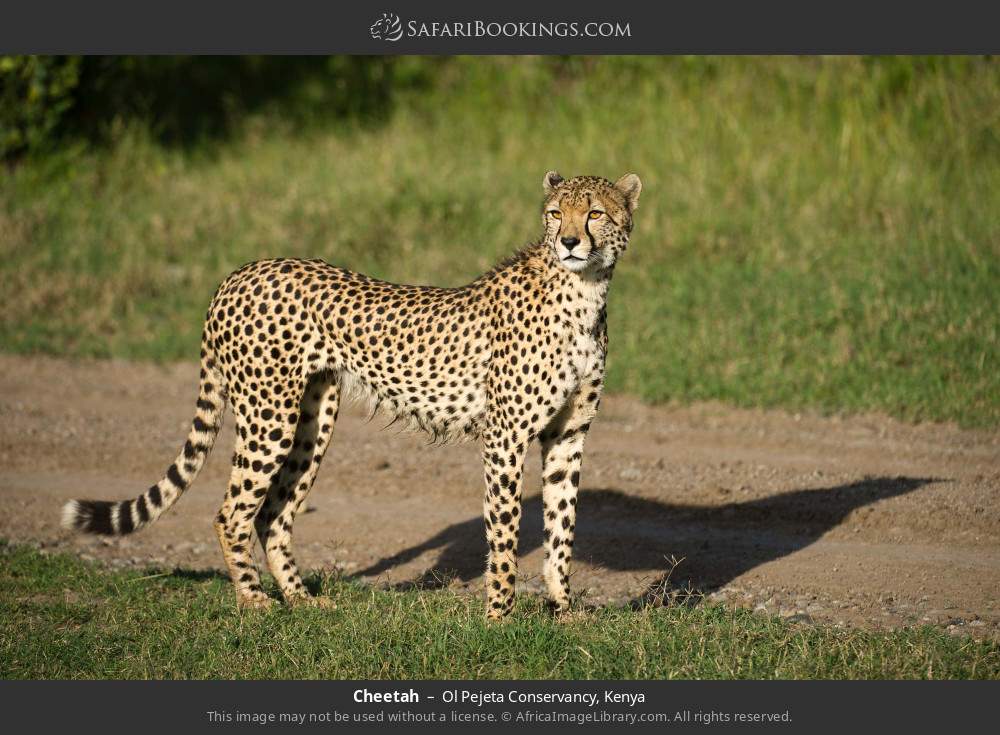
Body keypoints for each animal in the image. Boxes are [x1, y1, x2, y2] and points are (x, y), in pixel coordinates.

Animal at [62, 170, 642, 619]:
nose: (569, 242)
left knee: (275, 514)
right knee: (232, 514)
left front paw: (562, 610)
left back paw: (301, 600)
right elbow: (504, 534)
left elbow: (562, 528)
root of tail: (241, 272)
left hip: (312, 420)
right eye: (555, 213)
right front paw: (499, 616)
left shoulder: (567, 437)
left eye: (594, 213)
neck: (584, 291)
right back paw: (254, 602)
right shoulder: (505, 437)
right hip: (268, 416)